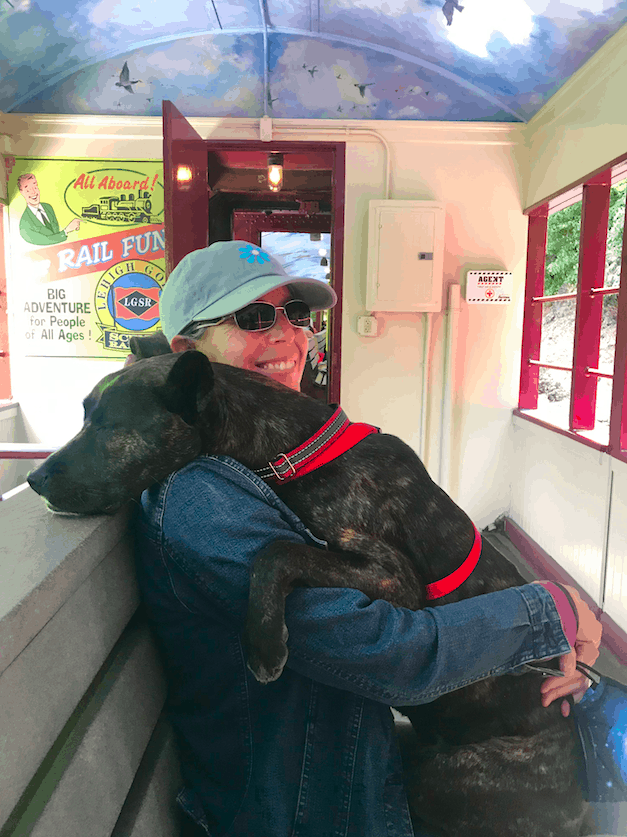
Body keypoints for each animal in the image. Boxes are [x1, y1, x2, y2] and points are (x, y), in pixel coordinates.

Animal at [27, 350, 592, 832]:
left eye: (108, 426)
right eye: (85, 416)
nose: (33, 478)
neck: (293, 451)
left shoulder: (395, 578)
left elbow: (278, 551)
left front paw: (264, 644)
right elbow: (282, 548)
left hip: (441, 776)